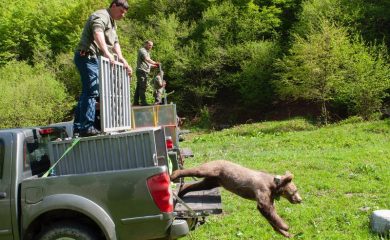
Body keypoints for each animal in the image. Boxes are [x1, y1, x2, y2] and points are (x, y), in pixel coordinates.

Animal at [171, 160, 302, 237]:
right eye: (294, 191)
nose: (300, 199)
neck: (273, 187)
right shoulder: (262, 190)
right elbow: (265, 208)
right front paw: (285, 226)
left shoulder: (270, 197)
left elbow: (270, 214)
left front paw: (285, 232)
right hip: (213, 169)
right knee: (198, 170)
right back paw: (174, 174)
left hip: (214, 181)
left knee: (198, 185)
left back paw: (182, 191)